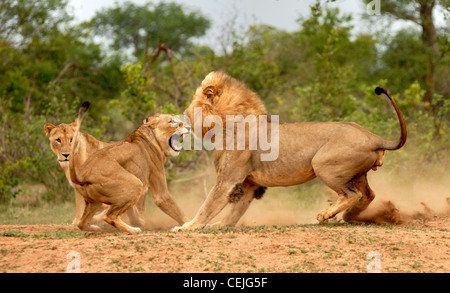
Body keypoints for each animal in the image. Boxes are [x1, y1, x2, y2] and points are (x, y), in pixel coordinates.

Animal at [69, 102, 189, 233]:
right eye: (172, 121)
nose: (188, 127)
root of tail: (82, 174)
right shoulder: (161, 194)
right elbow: (177, 211)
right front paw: (188, 224)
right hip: (135, 184)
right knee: (109, 216)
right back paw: (133, 230)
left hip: (95, 202)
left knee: (81, 223)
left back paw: (96, 228)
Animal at [174, 71, 406, 230]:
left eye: (192, 104)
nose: (183, 113)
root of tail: (373, 137)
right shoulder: (249, 184)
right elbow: (234, 212)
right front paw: (220, 225)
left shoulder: (229, 179)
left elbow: (209, 205)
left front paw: (188, 226)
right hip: (357, 174)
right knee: (368, 195)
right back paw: (350, 216)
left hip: (323, 165)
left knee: (352, 194)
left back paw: (325, 215)